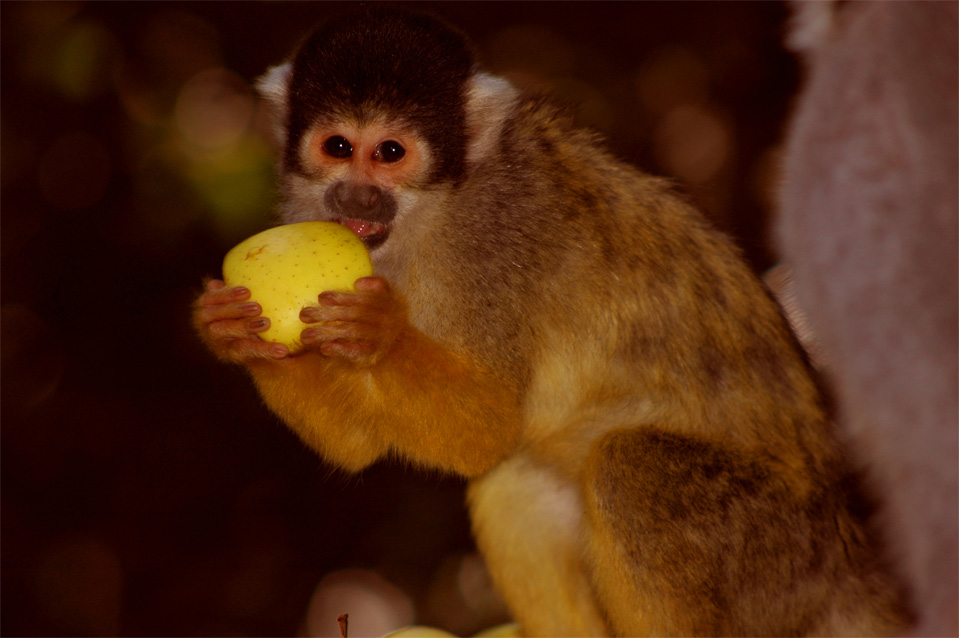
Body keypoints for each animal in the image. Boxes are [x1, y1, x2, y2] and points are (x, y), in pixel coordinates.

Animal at [193, 7, 908, 636]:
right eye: (339, 147)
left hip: (776, 558)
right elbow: (367, 446)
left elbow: (484, 429)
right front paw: (230, 332)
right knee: (516, 485)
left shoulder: (496, 242)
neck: (432, 213)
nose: (357, 197)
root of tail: (845, 554)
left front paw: (381, 332)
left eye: (390, 152)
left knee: (628, 468)